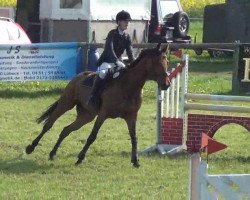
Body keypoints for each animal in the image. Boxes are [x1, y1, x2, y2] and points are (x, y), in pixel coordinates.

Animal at [25, 43, 170, 167]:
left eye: (167, 62)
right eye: (156, 62)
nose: (166, 84)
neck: (128, 88)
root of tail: (79, 76)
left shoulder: (131, 116)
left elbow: (134, 137)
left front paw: (135, 160)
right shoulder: (103, 114)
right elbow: (92, 136)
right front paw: (80, 158)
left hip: (86, 116)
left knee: (66, 130)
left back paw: (53, 153)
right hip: (66, 104)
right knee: (49, 124)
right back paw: (31, 147)